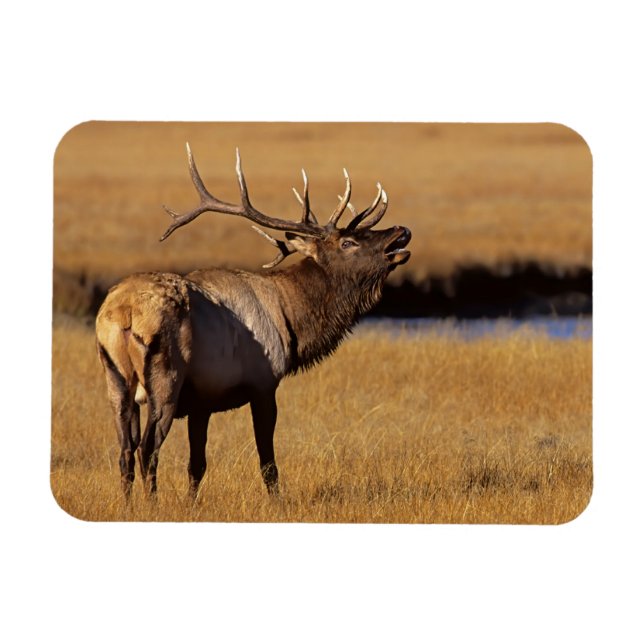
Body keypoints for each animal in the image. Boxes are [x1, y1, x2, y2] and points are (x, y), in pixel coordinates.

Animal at [95, 144, 411, 499]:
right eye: (348, 242)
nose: (401, 231)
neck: (291, 321)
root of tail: (123, 314)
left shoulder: (202, 401)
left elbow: (197, 465)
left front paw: (191, 504)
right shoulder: (263, 384)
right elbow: (268, 464)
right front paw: (278, 504)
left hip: (115, 380)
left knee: (125, 451)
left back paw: (129, 505)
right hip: (165, 378)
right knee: (147, 449)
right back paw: (151, 505)